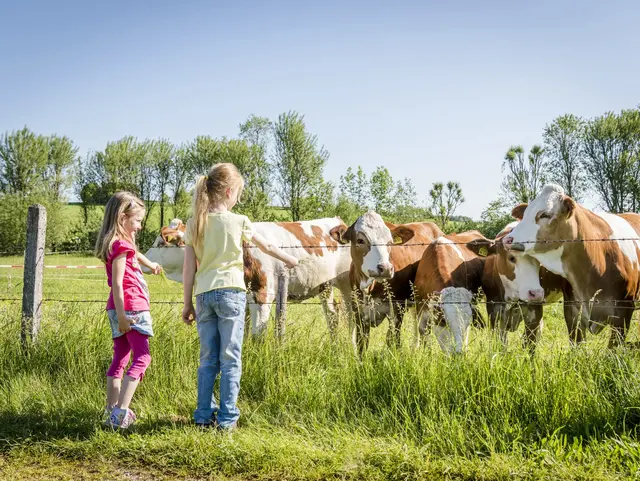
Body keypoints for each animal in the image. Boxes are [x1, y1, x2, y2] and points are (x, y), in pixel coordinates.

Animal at [143, 216, 352, 336]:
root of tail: (339, 221)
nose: (144, 259)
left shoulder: (262, 294)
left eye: (161, 243)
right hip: (325, 287)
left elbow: (257, 334)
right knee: (333, 317)